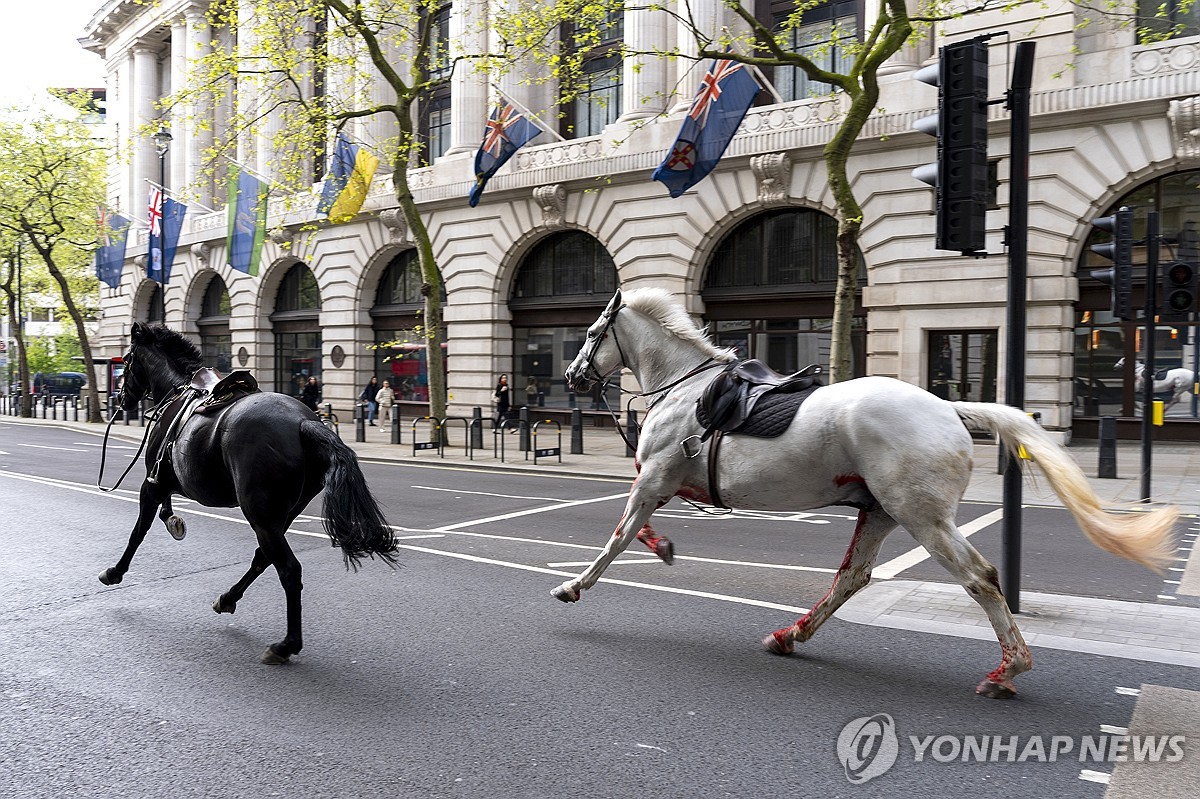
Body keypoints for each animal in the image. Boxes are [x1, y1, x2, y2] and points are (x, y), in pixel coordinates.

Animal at [99, 321, 398, 662]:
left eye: (126, 361)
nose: (120, 398)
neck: (177, 390)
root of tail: (305, 422)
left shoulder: (153, 483)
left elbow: (138, 531)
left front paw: (115, 571)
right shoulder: (166, 482)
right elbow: (163, 513)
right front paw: (174, 522)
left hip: (260, 514)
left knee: (288, 569)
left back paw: (286, 644)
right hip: (280, 515)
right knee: (263, 558)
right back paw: (228, 598)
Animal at [556, 287, 1176, 695]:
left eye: (590, 333)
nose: (571, 375)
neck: (686, 388)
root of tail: (950, 408)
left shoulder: (654, 477)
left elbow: (618, 536)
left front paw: (574, 586)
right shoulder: (664, 481)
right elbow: (639, 530)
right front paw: (662, 547)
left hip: (921, 516)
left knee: (979, 577)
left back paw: (1009, 669)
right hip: (880, 511)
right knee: (853, 577)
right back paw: (790, 634)